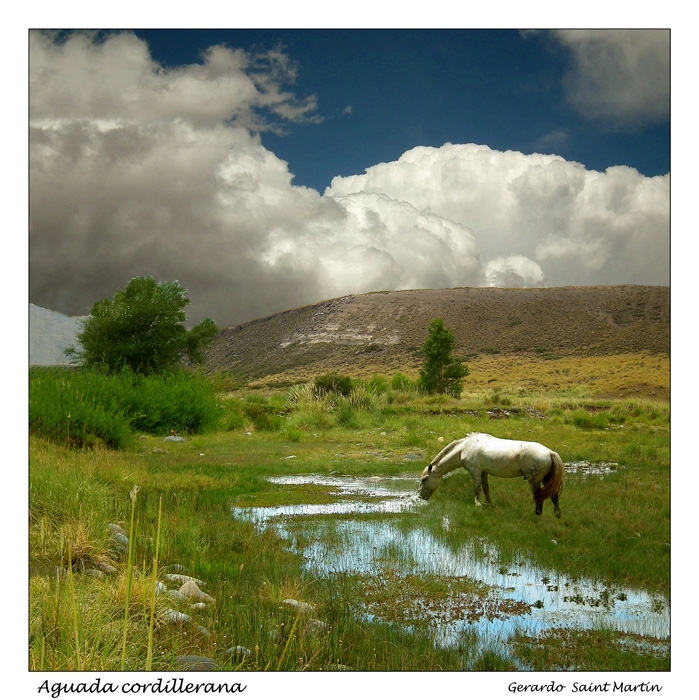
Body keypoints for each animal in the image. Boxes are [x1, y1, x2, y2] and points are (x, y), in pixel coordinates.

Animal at [422, 430, 564, 516]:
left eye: (424, 479)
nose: (420, 497)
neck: (465, 447)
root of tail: (550, 452)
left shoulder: (475, 472)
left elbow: (477, 489)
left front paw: (478, 504)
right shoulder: (484, 473)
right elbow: (486, 489)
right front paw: (489, 505)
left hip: (534, 480)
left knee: (539, 496)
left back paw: (537, 514)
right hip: (547, 479)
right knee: (554, 496)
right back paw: (557, 514)